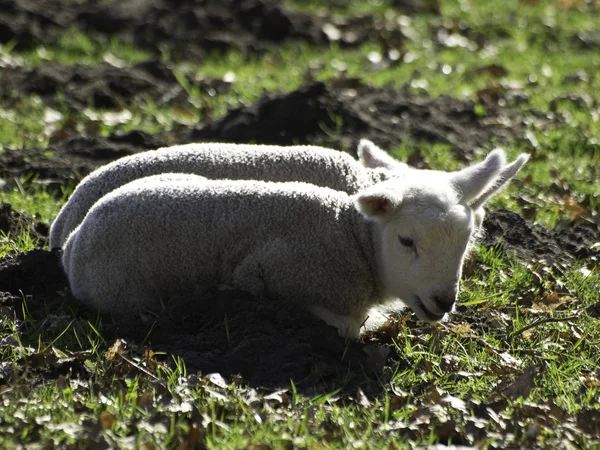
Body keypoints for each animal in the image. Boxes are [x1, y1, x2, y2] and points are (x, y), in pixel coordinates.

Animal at [61, 150, 528, 338]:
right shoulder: (275, 271)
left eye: (467, 242)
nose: (443, 301)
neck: (352, 234)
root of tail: (70, 238)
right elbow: (346, 327)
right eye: (406, 240)